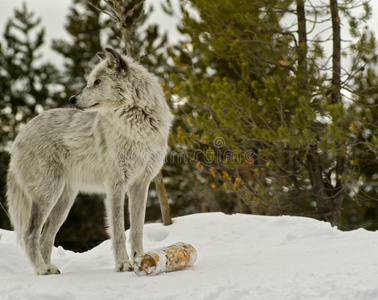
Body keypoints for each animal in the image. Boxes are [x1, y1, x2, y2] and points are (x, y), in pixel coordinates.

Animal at [5, 48, 173, 276]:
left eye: (97, 82)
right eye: (90, 81)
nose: (72, 99)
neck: (136, 125)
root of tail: (19, 137)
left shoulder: (141, 184)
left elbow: (137, 229)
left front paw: (141, 259)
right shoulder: (115, 185)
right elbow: (119, 230)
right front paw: (123, 264)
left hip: (63, 202)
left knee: (45, 238)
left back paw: (50, 268)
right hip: (48, 195)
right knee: (30, 234)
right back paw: (41, 269)